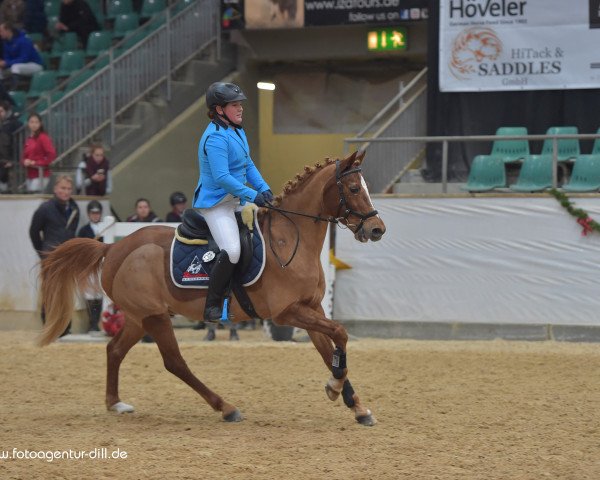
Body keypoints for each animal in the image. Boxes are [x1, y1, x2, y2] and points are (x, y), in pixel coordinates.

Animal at [38, 152, 384, 426]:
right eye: (354, 188)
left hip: (140, 317)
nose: (377, 229)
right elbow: (340, 333)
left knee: (115, 350)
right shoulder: (288, 314)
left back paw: (115, 403)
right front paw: (335, 389)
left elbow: (329, 351)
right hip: (155, 317)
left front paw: (356, 406)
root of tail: (114, 248)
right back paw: (226, 407)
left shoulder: (311, 309)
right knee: (174, 363)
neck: (289, 239)